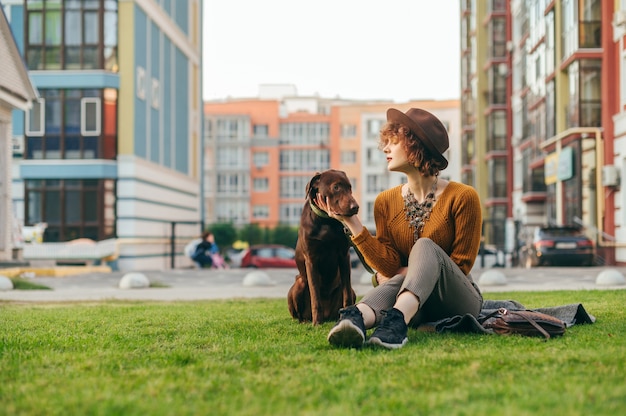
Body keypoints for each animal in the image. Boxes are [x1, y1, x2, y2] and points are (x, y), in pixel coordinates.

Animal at [286, 169, 356, 324]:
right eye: (336, 187)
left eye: (350, 187)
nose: (355, 207)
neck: (325, 221)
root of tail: (328, 315)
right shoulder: (311, 260)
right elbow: (315, 295)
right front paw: (317, 323)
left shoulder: (344, 256)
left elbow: (347, 293)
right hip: (299, 283)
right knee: (299, 315)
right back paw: (306, 321)